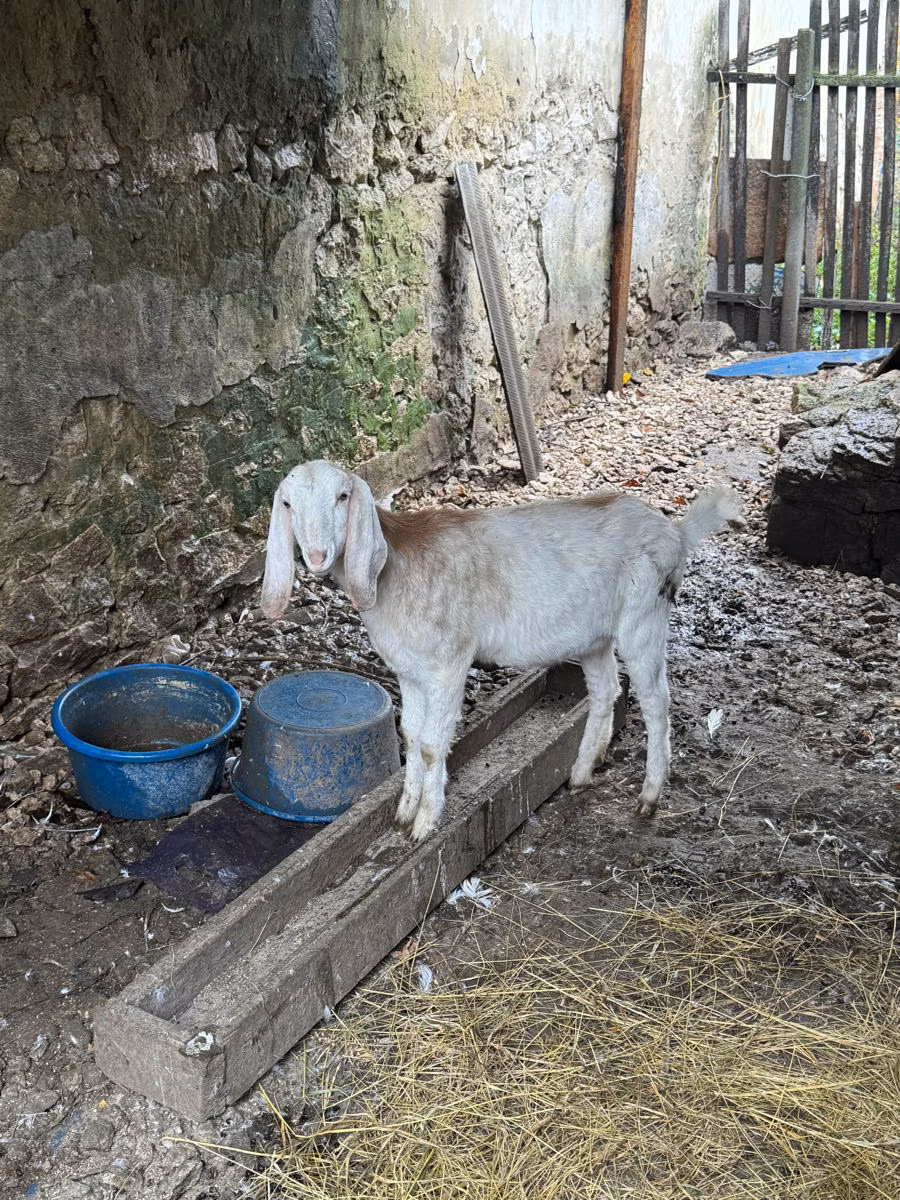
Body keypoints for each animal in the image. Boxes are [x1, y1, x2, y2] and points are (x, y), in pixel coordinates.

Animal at [261, 460, 740, 841]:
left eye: (342, 496)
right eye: (287, 505)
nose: (318, 555)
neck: (395, 568)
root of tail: (675, 533)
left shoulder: (449, 661)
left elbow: (432, 745)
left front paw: (425, 823)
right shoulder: (408, 671)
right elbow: (410, 736)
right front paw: (404, 811)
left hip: (644, 617)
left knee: (656, 701)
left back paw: (650, 795)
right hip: (594, 635)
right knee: (606, 690)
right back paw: (581, 774)